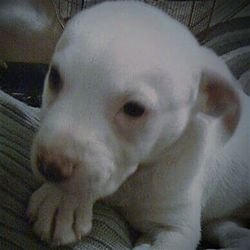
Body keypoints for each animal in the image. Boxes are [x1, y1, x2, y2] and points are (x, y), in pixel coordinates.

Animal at [27, 0, 250, 249]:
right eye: (54, 77)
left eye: (134, 109)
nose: (51, 166)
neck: (137, 176)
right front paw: (62, 200)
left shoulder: (179, 229)